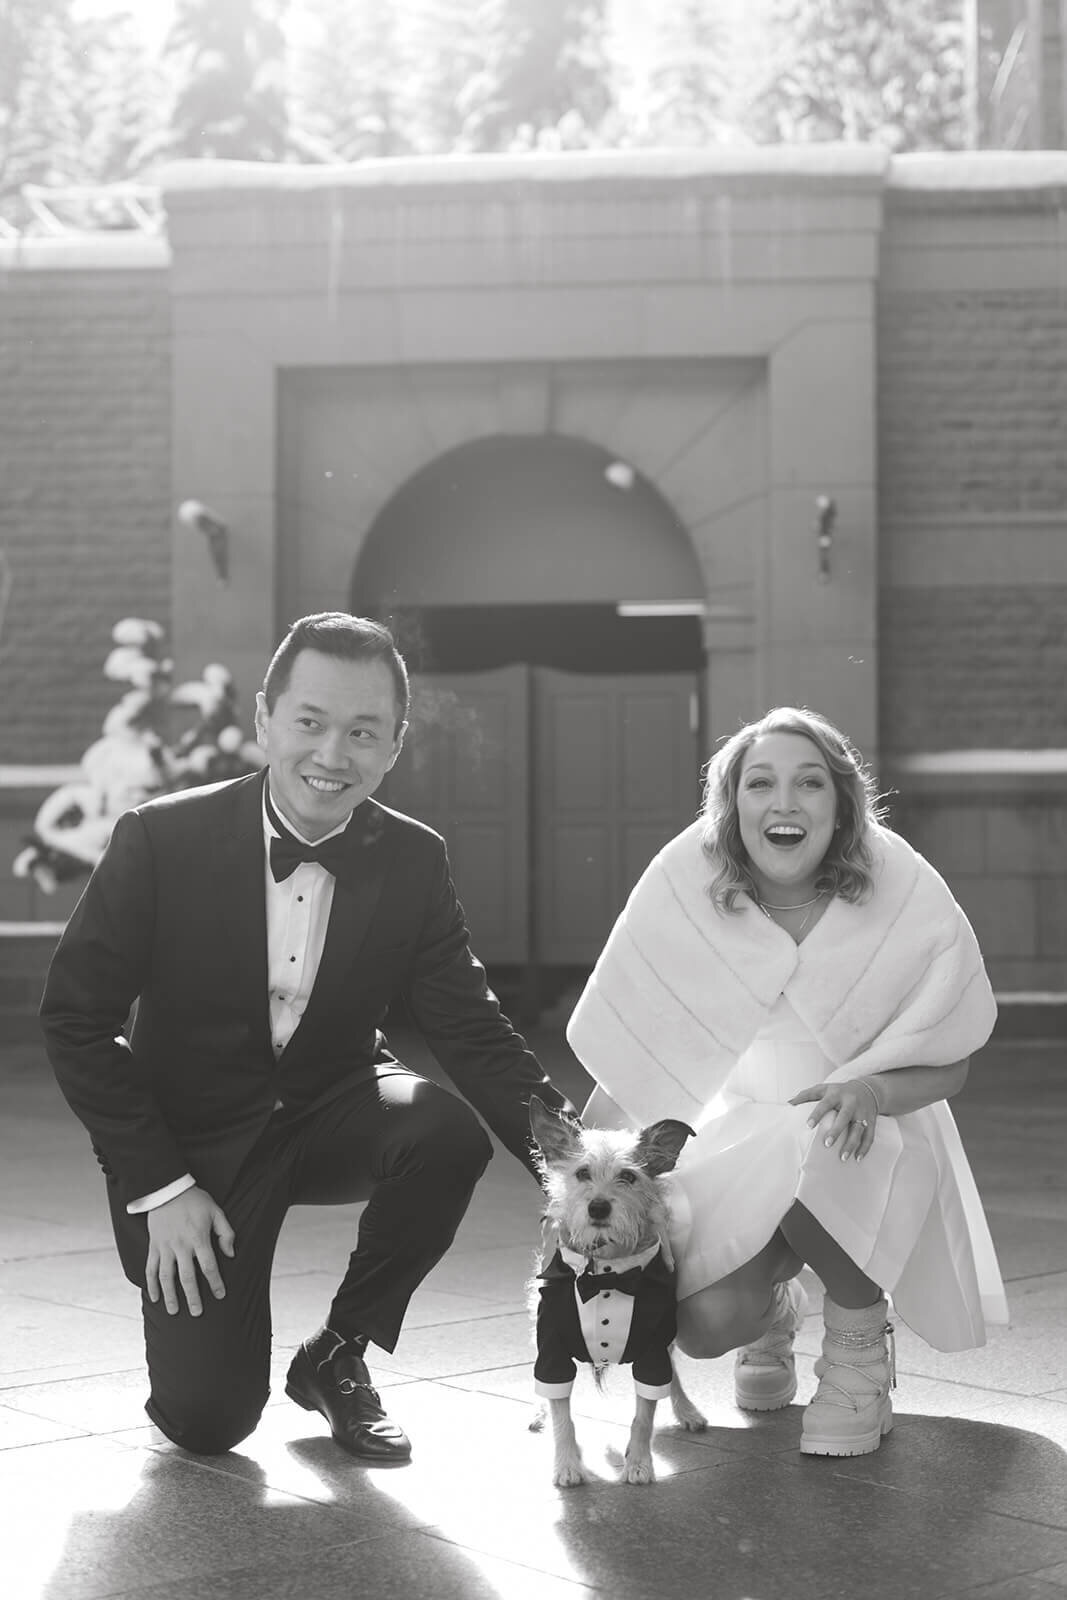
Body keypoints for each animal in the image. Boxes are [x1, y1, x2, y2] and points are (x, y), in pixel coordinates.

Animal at [527, 1094, 710, 1478]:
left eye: (628, 1176)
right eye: (582, 1173)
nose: (598, 1207)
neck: (606, 1272)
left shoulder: (654, 1348)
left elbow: (645, 1414)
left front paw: (639, 1463)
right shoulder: (551, 1345)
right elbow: (561, 1413)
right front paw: (567, 1465)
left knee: (673, 1376)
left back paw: (687, 1410)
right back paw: (538, 1411)